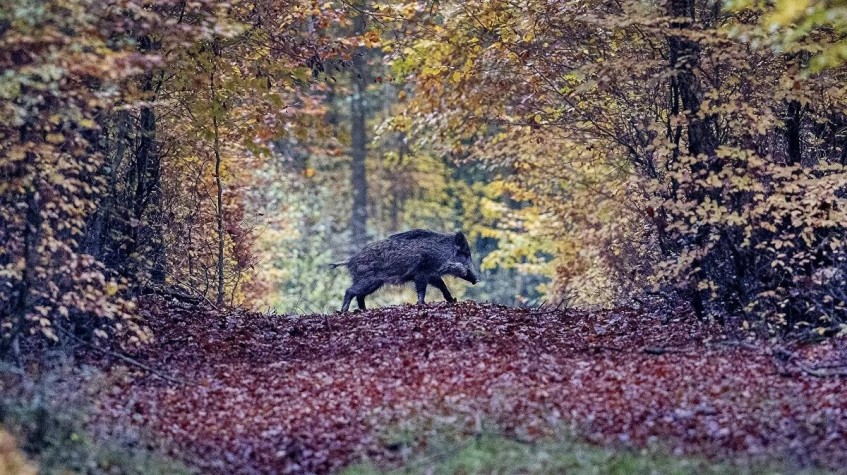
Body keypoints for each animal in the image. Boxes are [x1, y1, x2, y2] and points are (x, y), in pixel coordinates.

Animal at [332, 229, 479, 312]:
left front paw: (453, 300)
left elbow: (442, 286)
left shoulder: (431, 274)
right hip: (368, 280)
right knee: (350, 291)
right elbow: (422, 289)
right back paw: (344, 311)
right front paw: (422, 304)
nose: (477, 279)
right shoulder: (421, 273)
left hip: (373, 283)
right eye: (466, 254)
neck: (440, 255)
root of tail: (350, 260)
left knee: (360, 295)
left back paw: (364, 310)